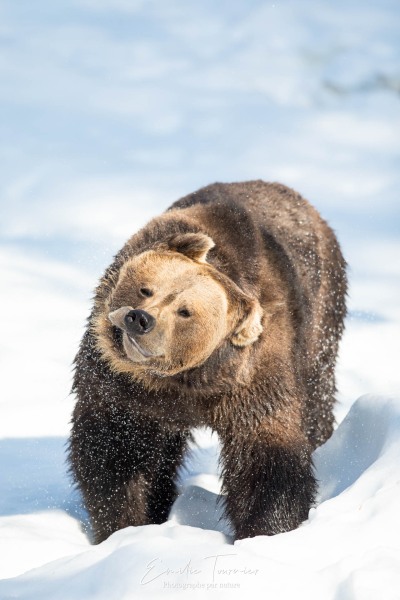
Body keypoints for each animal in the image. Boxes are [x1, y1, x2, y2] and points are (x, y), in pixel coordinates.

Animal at [69, 180, 346, 540]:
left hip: (321, 320)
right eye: (146, 288)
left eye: (185, 311)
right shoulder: (122, 388)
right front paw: (128, 523)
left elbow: (266, 455)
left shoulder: (254, 377)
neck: (183, 381)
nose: (139, 319)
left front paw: (267, 529)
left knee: (316, 401)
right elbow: (115, 451)